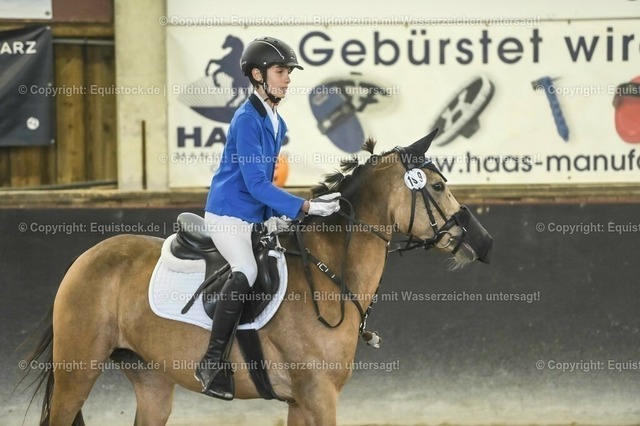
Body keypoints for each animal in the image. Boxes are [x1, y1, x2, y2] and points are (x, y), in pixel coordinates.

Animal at [22, 129, 492, 425]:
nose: (483, 243)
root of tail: (86, 258)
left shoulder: (302, 402)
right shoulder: (319, 396)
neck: (326, 273)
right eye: (436, 186)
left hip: (151, 380)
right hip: (77, 371)